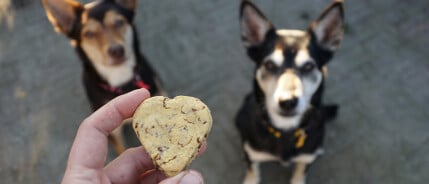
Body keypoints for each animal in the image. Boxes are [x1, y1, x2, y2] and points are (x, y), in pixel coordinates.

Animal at [236, 0, 342, 183]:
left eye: (308, 66)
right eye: (270, 65)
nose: (288, 102)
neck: (285, 131)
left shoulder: (306, 159)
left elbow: (299, 174)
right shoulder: (252, 155)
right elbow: (252, 173)